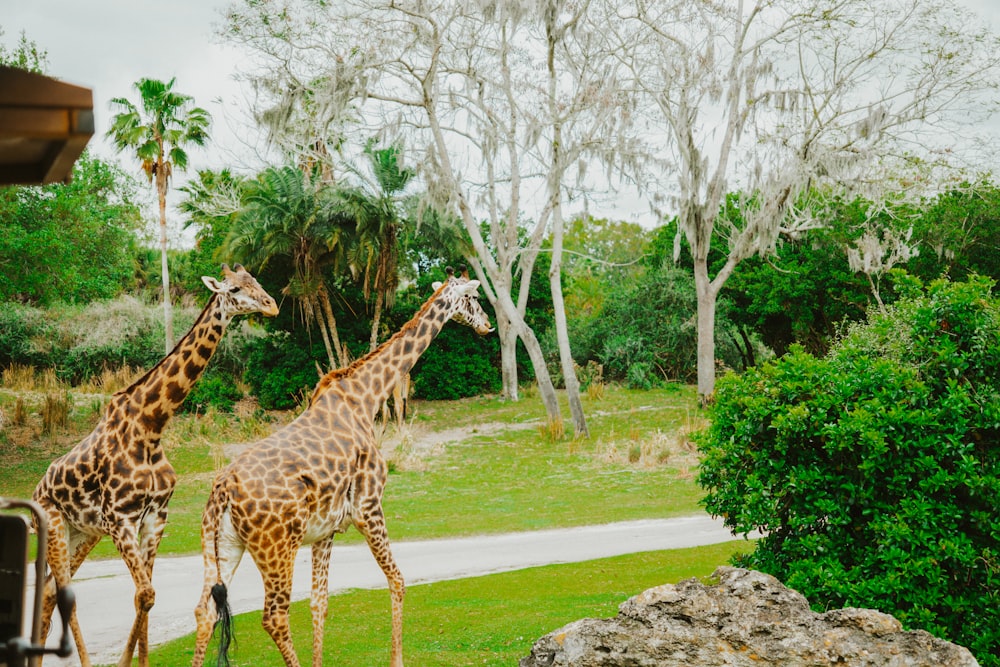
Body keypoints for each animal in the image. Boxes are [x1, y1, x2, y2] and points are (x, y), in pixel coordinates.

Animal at [31, 264, 280, 667]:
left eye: (256, 282)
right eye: (234, 289)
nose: (271, 305)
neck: (150, 427)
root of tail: (37, 489)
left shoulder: (155, 516)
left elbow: (146, 597)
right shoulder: (120, 520)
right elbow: (144, 594)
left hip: (81, 534)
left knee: (52, 593)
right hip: (54, 526)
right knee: (63, 595)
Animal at [190, 270, 492, 667]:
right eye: (474, 299)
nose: (487, 325)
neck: (366, 396)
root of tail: (222, 490)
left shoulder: (326, 530)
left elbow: (320, 604)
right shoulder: (368, 507)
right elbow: (398, 581)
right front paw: (397, 659)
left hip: (222, 546)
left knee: (205, 611)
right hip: (276, 548)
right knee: (274, 616)